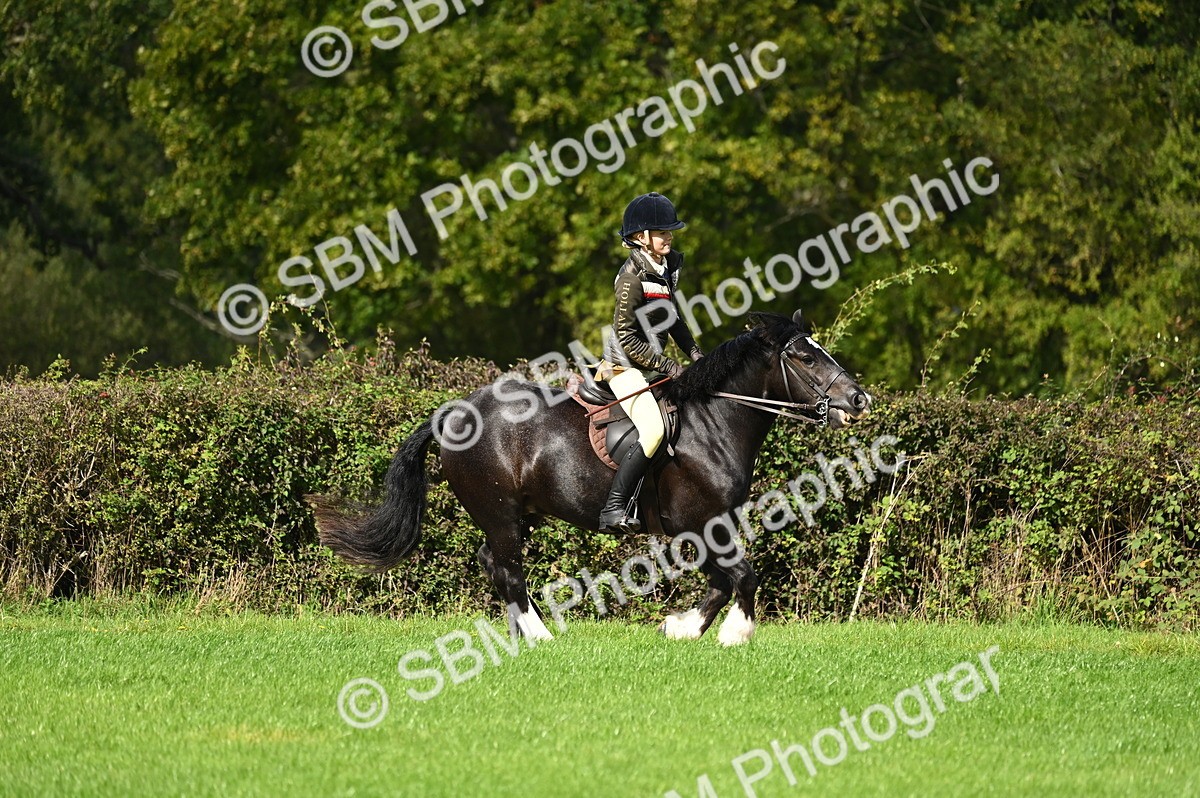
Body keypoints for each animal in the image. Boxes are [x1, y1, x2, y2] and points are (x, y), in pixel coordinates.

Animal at [310, 310, 871, 645]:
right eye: (804, 356)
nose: (858, 399)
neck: (713, 422)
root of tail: (453, 414)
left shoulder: (710, 526)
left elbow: (721, 580)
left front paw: (682, 627)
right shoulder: (700, 522)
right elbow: (742, 576)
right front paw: (734, 634)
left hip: (517, 514)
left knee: (494, 563)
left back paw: (522, 633)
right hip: (499, 513)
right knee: (508, 569)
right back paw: (539, 637)